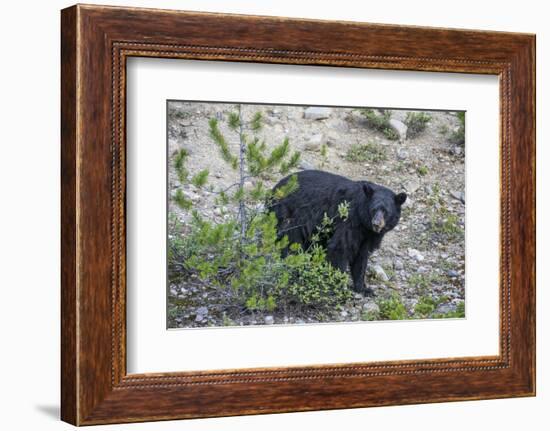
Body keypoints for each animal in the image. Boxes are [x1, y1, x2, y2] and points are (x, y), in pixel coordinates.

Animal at [270, 170, 408, 296]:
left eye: (386, 211)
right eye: (374, 209)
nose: (376, 223)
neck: (364, 223)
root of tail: (274, 189)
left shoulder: (368, 235)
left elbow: (361, 257)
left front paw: (364, 288)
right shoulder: (350, 220)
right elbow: (340, 247)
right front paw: (337, 284)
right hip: (289, 215)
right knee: (291, 242)